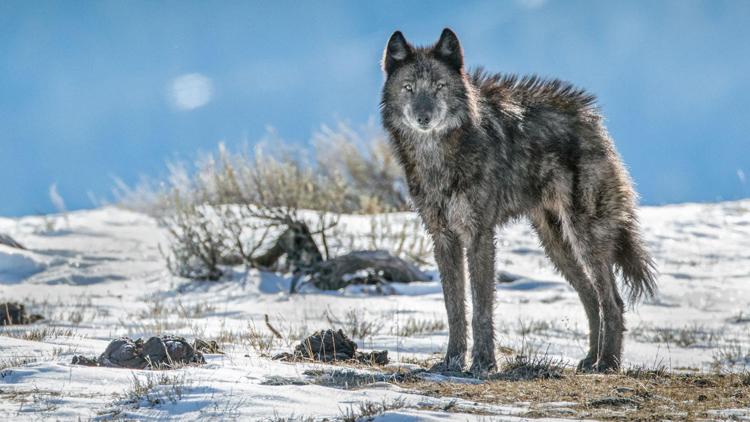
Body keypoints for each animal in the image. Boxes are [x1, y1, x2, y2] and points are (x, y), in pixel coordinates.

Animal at [382, 28, 656, 374]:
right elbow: (454, 308)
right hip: (556, 246)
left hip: (585, 238)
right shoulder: (443, 238)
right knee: (592, 298)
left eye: (439, 87)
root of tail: (592, 119)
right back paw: (589, 359)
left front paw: (484, 363)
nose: (424, 117)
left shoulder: (479, 235)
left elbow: (482, 308)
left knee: (613, 302)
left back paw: (608, 363)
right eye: (408, 88)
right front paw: (452, 361)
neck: (440, 158)